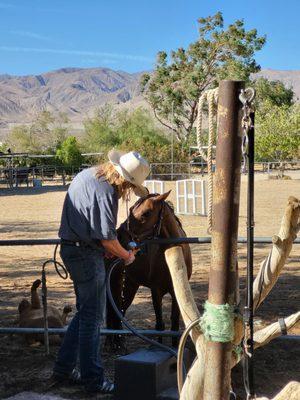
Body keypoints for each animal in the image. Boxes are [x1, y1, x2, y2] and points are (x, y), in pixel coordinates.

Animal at [106, 191, 193, 346]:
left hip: (130, 286)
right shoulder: (156, 291)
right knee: (114, 311)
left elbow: (174, 325)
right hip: (115, 284)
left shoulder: (176, 293)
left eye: (146, 213)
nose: (118, 235)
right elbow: (159, 325)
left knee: (120, 310)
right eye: (131, 209)